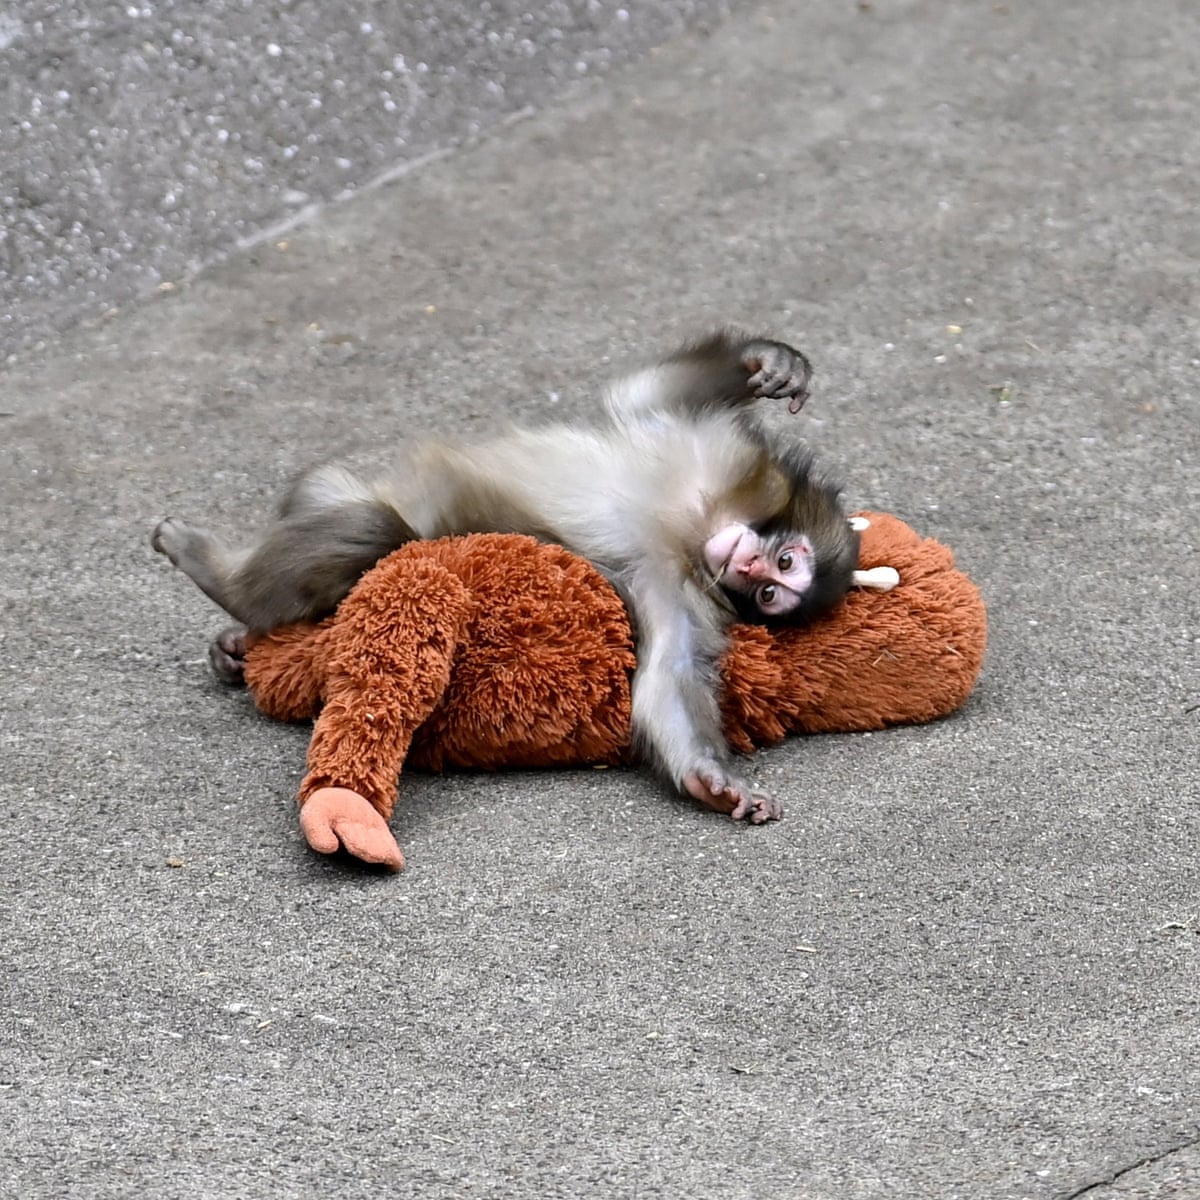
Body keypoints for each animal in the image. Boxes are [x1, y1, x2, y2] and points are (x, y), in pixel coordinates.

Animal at [152, 330, 859, 823]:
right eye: (783, 564)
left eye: (771, 592)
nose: (747, 565)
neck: (695, 525)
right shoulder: (716, 452)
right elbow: (644, 393)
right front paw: (767, 362)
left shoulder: (680, 589)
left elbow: (669, 674)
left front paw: (710, 782)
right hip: (328, 487)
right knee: (369, 522)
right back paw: (226, 588)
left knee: (376, 532)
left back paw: (234, 615)